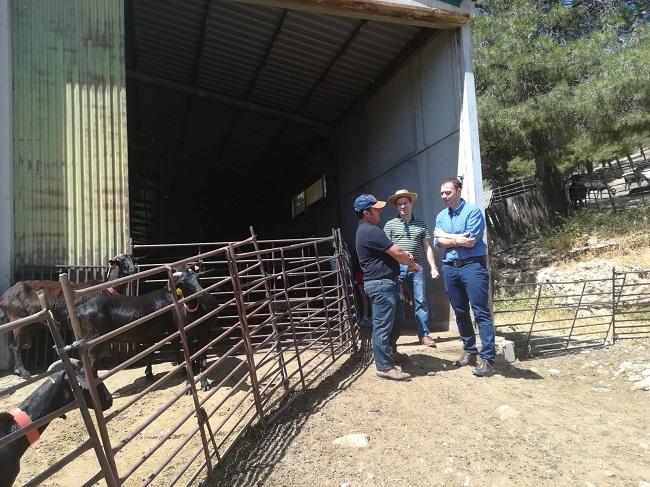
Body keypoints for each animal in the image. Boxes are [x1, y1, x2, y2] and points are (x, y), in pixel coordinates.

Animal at [0, 255, 137, 382]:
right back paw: (23, 372)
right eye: (121, 261)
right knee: (15, 346)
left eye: (132, 259)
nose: (134, 269)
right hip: (18, 319)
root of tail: (4, 296)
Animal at [75, 264, 218, 390]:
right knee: (92, 367)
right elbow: (177, 350)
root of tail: (80, 309)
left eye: (198, 278)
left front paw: (149, 374)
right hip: (94, 344)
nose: (202, 293)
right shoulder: (173, 331)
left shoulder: (153, 335)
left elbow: (150, 353)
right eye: (183, 282)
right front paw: (183, 370)